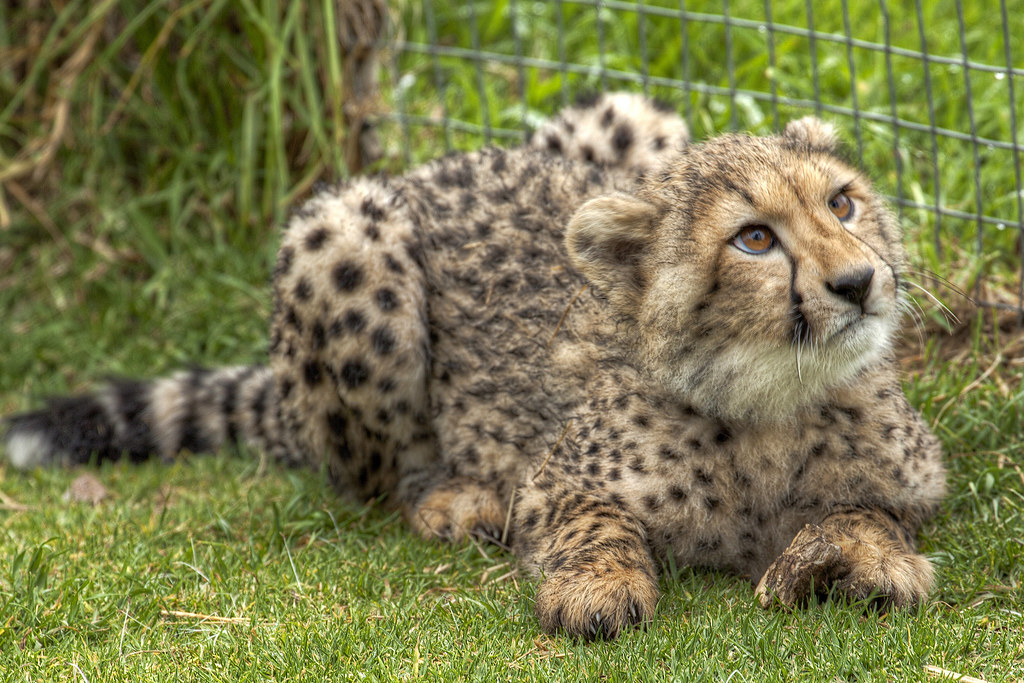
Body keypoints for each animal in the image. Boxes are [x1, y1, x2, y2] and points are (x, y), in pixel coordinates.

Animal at [3, 92, 945, 640]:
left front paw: (852, 559)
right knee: (372, 473)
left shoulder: (913, 481)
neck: (770, 404)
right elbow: (591, 520)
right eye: (754, 238)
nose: (859, 281)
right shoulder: (557, 479)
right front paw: (596, 587)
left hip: (629, 113)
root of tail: (438, 163)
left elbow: (869, 511)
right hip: (342, 235)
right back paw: (456, 500)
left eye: (842, 202)